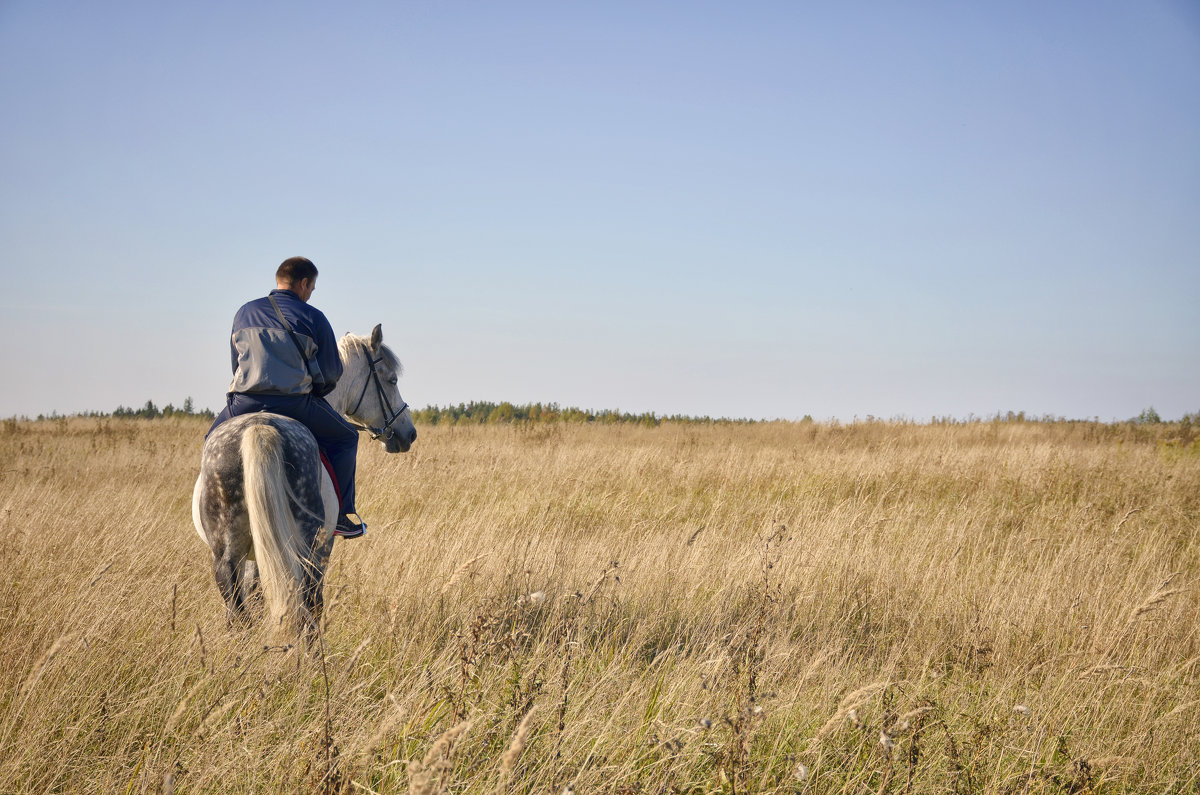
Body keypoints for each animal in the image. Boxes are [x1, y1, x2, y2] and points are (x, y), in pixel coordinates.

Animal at [192, 324, 417, 634]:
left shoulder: (256, 556)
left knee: (239, 612)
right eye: (392, 380)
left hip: (228, 555)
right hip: (308, 550)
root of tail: (258, 426)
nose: (409, 434)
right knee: (309, 608)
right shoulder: (322, 549)